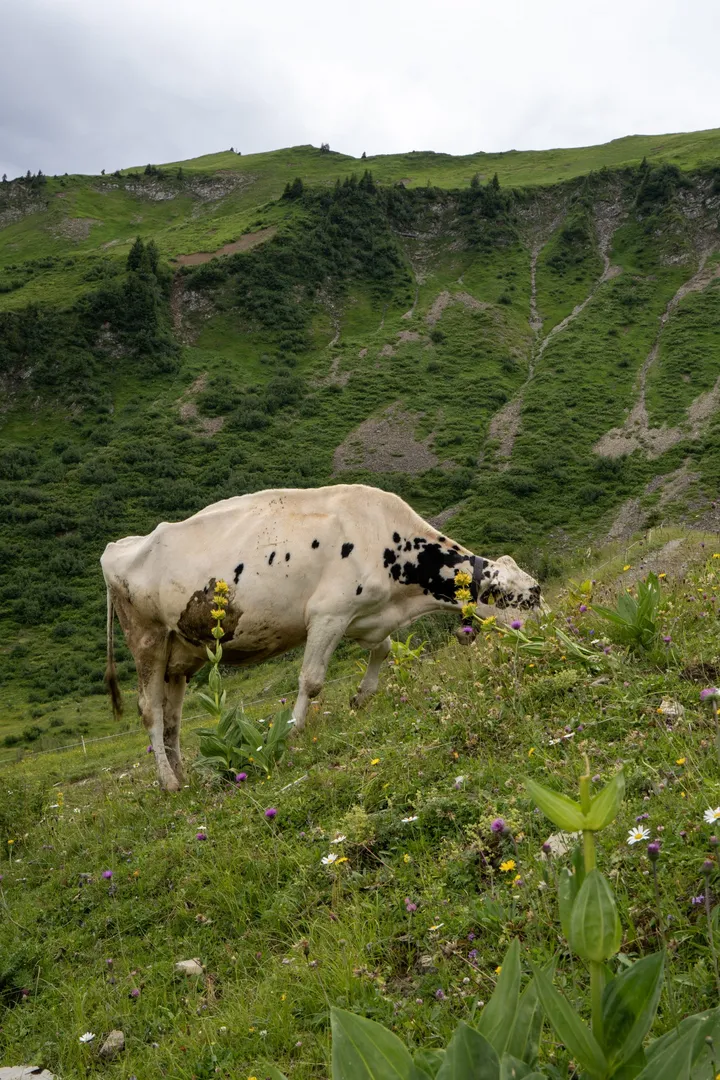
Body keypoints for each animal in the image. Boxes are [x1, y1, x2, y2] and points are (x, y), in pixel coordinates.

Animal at [101, 484, 542, 790]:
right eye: (529, 597)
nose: (552, 630)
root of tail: (118, 545)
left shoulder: (364, 615)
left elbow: (382, 650)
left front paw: (361, 697)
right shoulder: (328, 613)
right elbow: (311, 680)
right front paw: (293, 730)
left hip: (180, 654)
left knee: (173, 718)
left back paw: (183, 774)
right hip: (147, 640)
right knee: (151, 711)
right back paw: (168, 782)